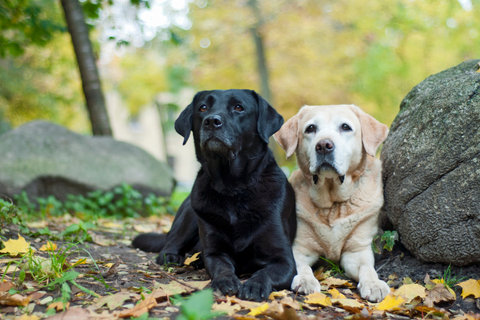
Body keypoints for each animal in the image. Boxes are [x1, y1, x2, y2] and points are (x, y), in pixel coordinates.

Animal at [132, 89, 296, 302]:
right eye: (203, 108)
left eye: (238, 107)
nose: (211, 121)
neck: (233, 189)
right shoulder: (214, 252)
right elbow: (222, 267)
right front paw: (225, 281)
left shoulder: (285, 261)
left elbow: (265, 272)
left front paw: (254, 285)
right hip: (190, 213)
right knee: (170, 243)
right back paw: (173, 256)